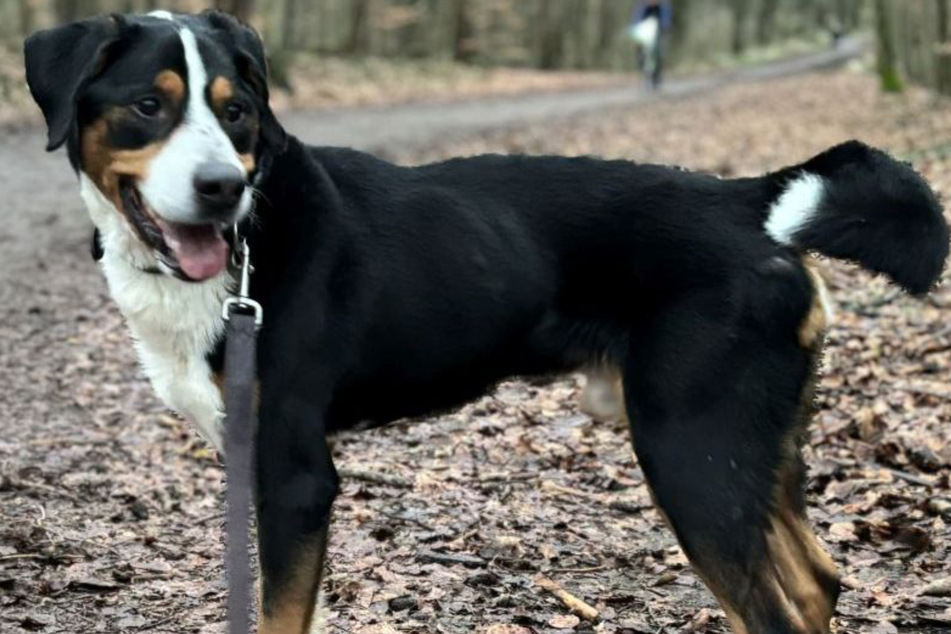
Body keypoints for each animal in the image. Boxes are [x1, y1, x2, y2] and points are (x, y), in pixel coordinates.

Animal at [26, 11, 948, 632]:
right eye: (149, 106)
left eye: (237, 112)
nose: (220, 186)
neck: (248, 240)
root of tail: (747, 203)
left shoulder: (293, 473)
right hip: (755, 450)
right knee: (817, 583)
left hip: (694, 454)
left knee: (775, 608)